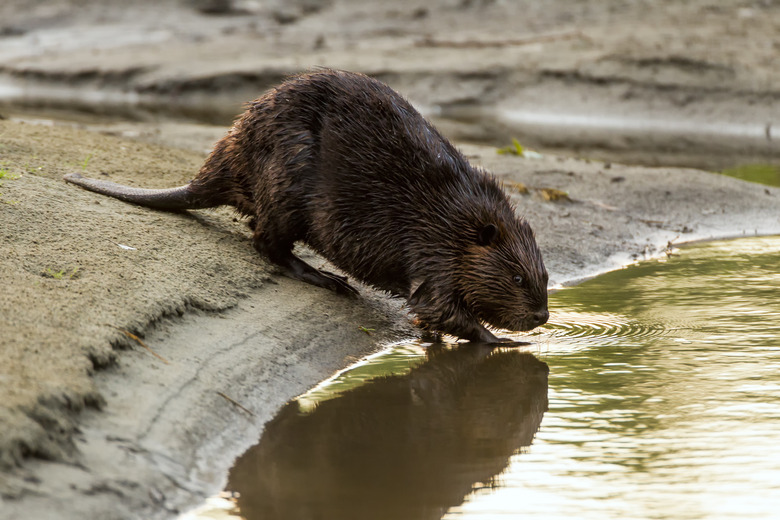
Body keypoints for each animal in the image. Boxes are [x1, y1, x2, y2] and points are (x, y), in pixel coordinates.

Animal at [65, 70, 548, 346]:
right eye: (518, 278)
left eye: (542, 276)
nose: (542, 316)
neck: (459, 216)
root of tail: (217, 167)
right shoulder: (434, 250)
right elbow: (437, 305)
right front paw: (504, 342)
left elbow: (430, 313)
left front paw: (432, 337)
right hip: (287, 180)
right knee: (267, 243)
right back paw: (329, 279)